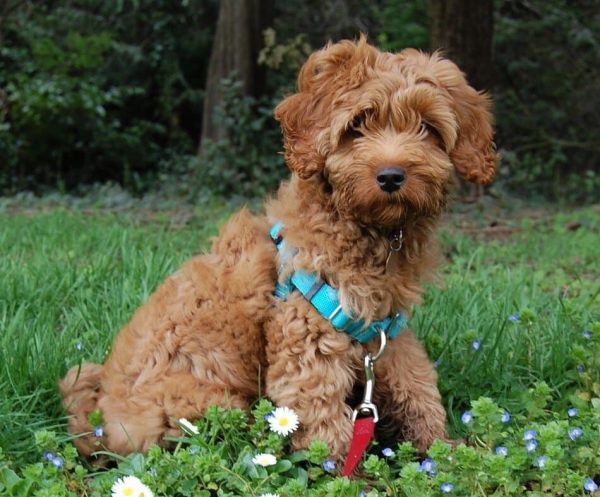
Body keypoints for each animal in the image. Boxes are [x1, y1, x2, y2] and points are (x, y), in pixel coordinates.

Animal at [59, 35, 496, 462]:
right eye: (356, 125)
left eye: (427, 127)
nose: (391, 176)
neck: (367, 230)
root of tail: (101, 421)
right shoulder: (310, 331)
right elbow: (322, 415)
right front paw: (346, 471)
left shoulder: (386, 330)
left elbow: (416, 381)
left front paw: (442, 447)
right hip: (208, 404)